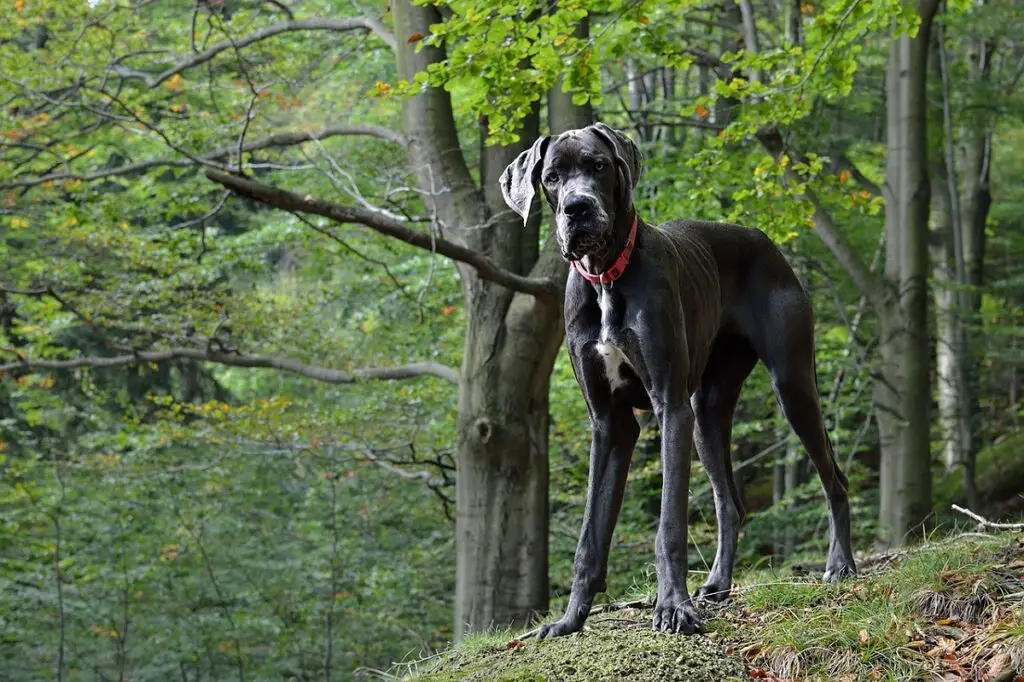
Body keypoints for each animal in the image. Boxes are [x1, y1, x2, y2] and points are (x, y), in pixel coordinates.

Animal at [497, 122, 856, 638]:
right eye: (551, 177)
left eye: (598, 166)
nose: (577, 208)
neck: (606, 278)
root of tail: (762, 239)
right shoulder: (610, 424)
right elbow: (590, 536)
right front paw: (569, 620)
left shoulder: (669, 406)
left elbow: (669, 525)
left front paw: (672, 607)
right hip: (706, 414)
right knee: (730, 504)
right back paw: (719, 585)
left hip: (791, 385)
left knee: (834, 479)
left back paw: (840, 564)